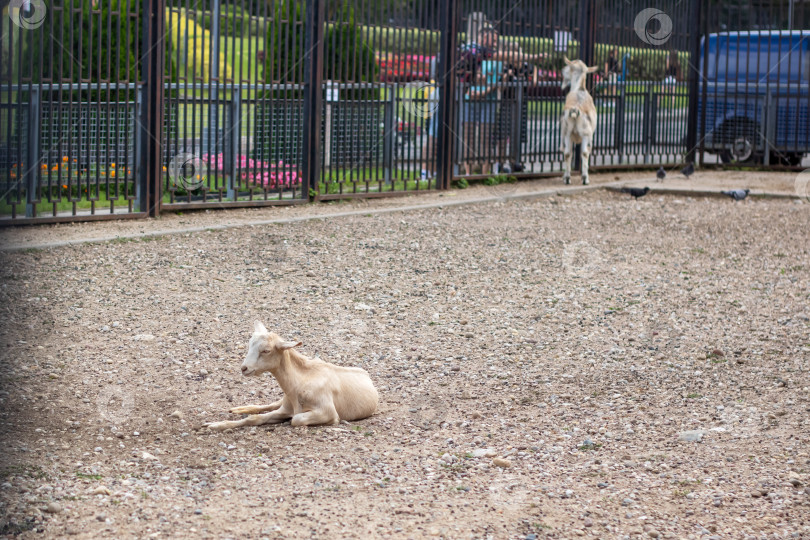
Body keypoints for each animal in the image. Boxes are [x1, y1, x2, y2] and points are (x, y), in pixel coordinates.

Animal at [202, 320, 378, 430]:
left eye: (266, 351)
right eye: (249, 345)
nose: (244, 368)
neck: (300, 382)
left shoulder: (328, 411)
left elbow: (296, 419)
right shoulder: (285, 409)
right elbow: (255, 418)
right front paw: (213, 425)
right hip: (283, 402)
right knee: (269, 404)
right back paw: (239, 409)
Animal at [560, 56, 596, 185]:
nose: (562, 70)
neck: (580, 88)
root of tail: (576, 109)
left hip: (567, 132)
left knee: (567, 153)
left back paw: (567, 178)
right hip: (585, 134)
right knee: (584, 152)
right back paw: (585, 179)